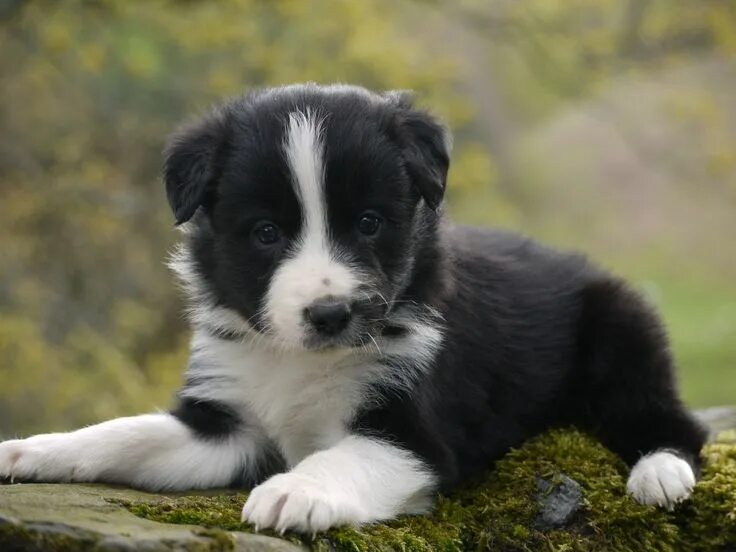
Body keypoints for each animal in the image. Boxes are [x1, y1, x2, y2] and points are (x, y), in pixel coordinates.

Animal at [2, 83, 712, 536]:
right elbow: (123, 433)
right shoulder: (226, 425)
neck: (297, 359)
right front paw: (30, 450)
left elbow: (341, 456)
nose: (330, 314)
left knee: (672, 420)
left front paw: (294, 491)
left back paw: (659, 474)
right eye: (265, 233)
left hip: (621, 332)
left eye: (369, 223)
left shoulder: (412, 432)